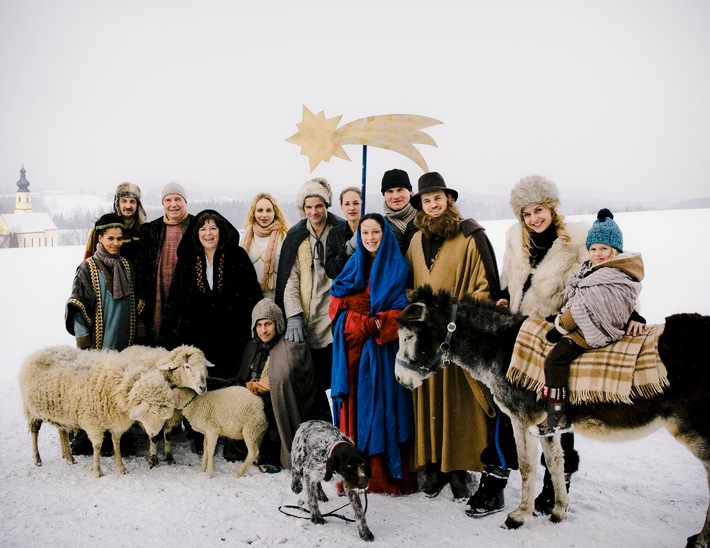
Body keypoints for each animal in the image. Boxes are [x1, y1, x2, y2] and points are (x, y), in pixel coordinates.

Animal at [20, 344, 176, 478]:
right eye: (153, 412)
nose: (154, 434)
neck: (120, 388)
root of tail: (37, 352)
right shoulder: (92, 423)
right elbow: (97, 446)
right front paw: (97, 470)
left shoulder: (115, 423)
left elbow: (116, 443)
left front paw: (121, 467)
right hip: (31, 410)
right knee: (34, 433)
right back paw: (37, 459)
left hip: (61, 412)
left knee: (62, 431)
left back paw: (69, 457)